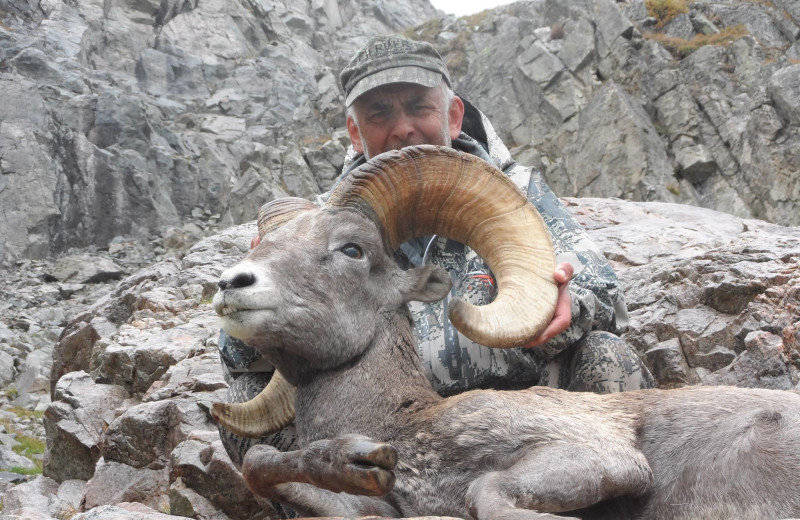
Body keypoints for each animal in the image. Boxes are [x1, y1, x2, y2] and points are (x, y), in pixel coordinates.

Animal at [212, 146, 800, 520]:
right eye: (263, 246)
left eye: (352, 248)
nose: (230, 284)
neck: (405, 423)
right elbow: (261, 464)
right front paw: (356, 460)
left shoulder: (605, 458)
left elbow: (485, 490)